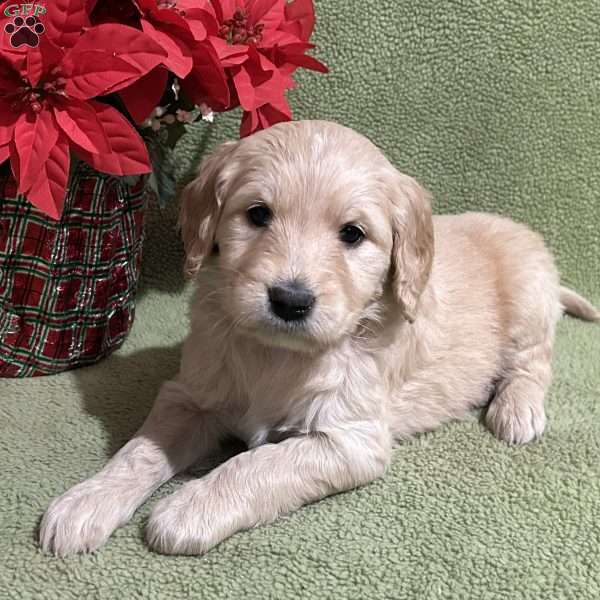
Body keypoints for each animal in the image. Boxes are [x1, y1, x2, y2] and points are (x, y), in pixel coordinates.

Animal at [39, 119, 596, 556]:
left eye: (352, 234)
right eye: (257, 214)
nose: (290, 300)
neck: (277, 355)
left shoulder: (348, 440)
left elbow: (257, 464)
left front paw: (188, 509)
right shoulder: (191, 394)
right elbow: (140, 450)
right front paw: (86, 501)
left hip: (527, 297)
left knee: (535, 361)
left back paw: (517, 410)